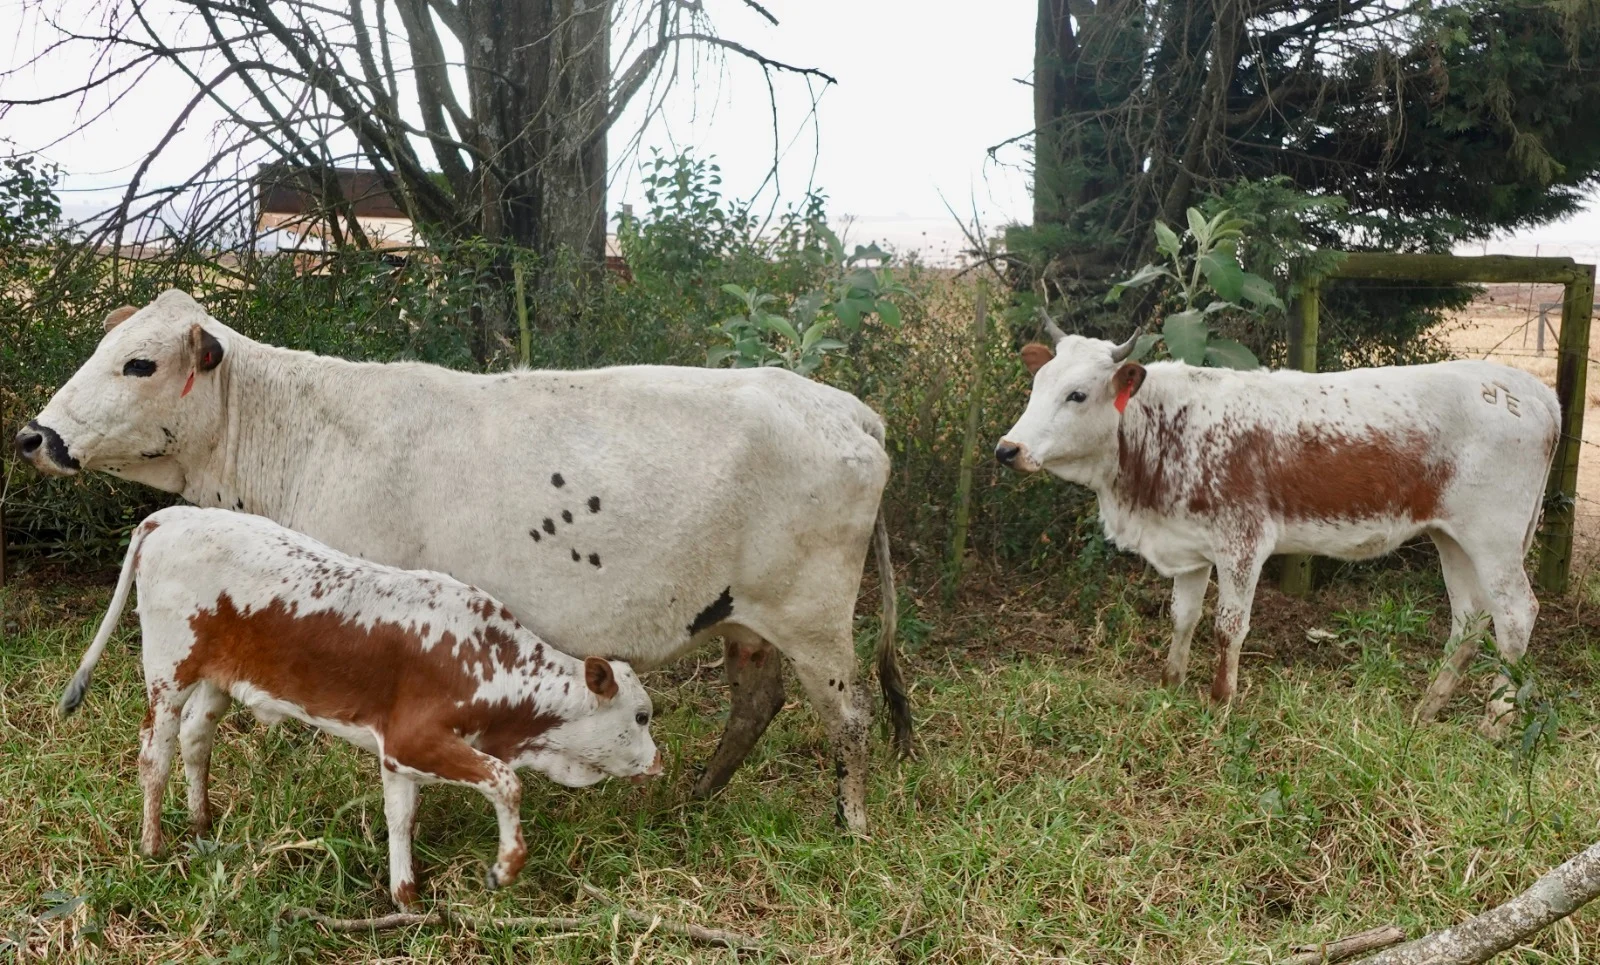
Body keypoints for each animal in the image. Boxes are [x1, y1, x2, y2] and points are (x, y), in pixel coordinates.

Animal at [17, 289, 910, 832]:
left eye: (138, 362)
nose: (34, 435)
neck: (296, 430)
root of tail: (848, 408)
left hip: (816, 618)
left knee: (851, 717)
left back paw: (853, 822)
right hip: (744, 618)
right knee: (757, 703)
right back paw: (694, 795)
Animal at [57, 506, 661, 908]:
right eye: (641, 716)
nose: (658, 762)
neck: (489, 662)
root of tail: (168, 516)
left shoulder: (398, 752)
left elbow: (402, 816)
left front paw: (406, 897)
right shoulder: (419, 738)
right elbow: (507, 783)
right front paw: (505, 868)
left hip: (218, 679)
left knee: (195, 738)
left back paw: (203, 824)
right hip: (168, 670)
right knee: (153, 754)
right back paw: (153, 845)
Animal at [995, 319, 1560, 730]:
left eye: (1077, 394)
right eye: (1036, 386)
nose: (1007, 449)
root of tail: (1530, 390)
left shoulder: (1242, 541)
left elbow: (1228, 626)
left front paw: (1221, 702)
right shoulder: (1187, 543)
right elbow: (1183, 616)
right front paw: (1171, 684)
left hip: (1495, 538)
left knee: (1515, 615)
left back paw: (1495, 723)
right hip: (1453, 538)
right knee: (1469, 619)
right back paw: (1427, 710)